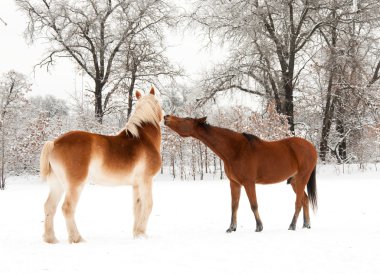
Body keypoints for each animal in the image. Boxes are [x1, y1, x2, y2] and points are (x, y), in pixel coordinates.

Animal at [40, 87, 163, 242]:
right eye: (158, 102)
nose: (164, 116)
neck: (143, 140)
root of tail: (55, 142)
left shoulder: (136, 185)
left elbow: (137, 207)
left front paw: (137, 234)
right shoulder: (146, 180)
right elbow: (148, 205)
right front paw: (141, 233)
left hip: (58, 185)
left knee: (49, 207)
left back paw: (50, 239)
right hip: (75, 185)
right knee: (67, 208)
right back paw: (77, 238)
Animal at [165, 114, 320, 232]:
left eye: (186, 119)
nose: (167, 117)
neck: (236, 150)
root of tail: (311, 147)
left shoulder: (248, 183)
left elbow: (254, 205)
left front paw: (259, 227)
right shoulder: (234, 183)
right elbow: (234, 206)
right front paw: (231, 228)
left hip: (302, 178)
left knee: (298, 202)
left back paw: (292, 226)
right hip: (294, 181)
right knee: (304, 199)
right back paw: (306, 225)